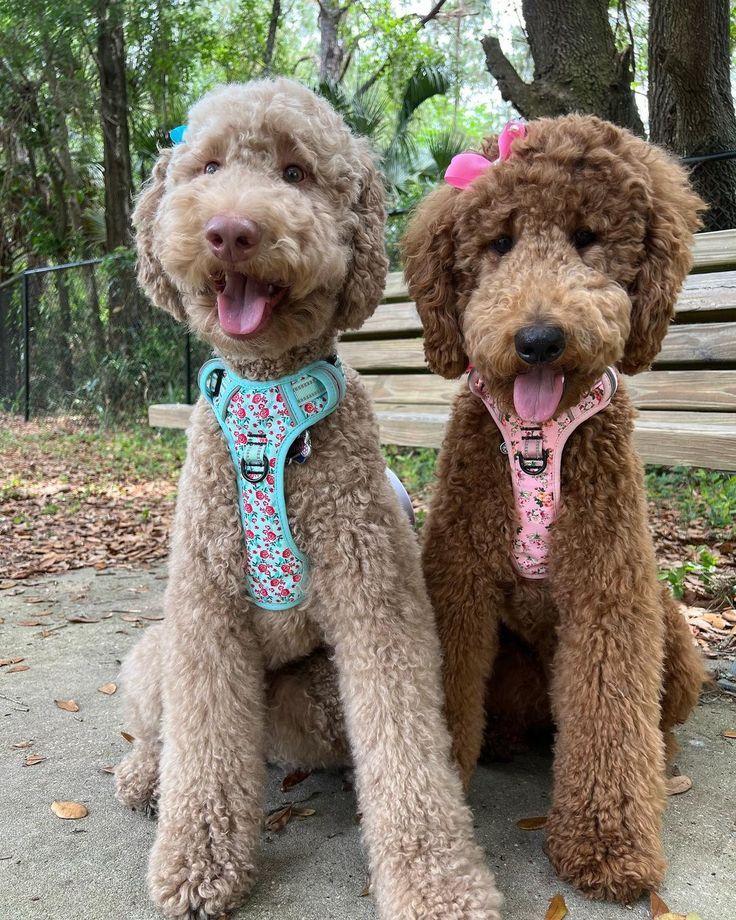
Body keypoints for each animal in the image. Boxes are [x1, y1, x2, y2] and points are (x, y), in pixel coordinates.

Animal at [115, 77, 504, 920]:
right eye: (208, 167)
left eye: (295, 173)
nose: (231, 230)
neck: (269, 404)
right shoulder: (204, 611)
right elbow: (200, 742)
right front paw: (196, 861)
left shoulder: (377, 602)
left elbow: (405, 744)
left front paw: (438, 882)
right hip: (158, 648)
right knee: (162, 729)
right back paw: (144, 777)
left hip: (311, 696)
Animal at [402, 113, 708, 900]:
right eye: (499, 243)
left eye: (586, 235)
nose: (538, 339)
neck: (537, 434)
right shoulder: (458, 581)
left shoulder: (610, 586)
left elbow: (610, 712)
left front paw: (606, 846)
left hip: (671, 631)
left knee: (649, 717)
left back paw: (662, 759)